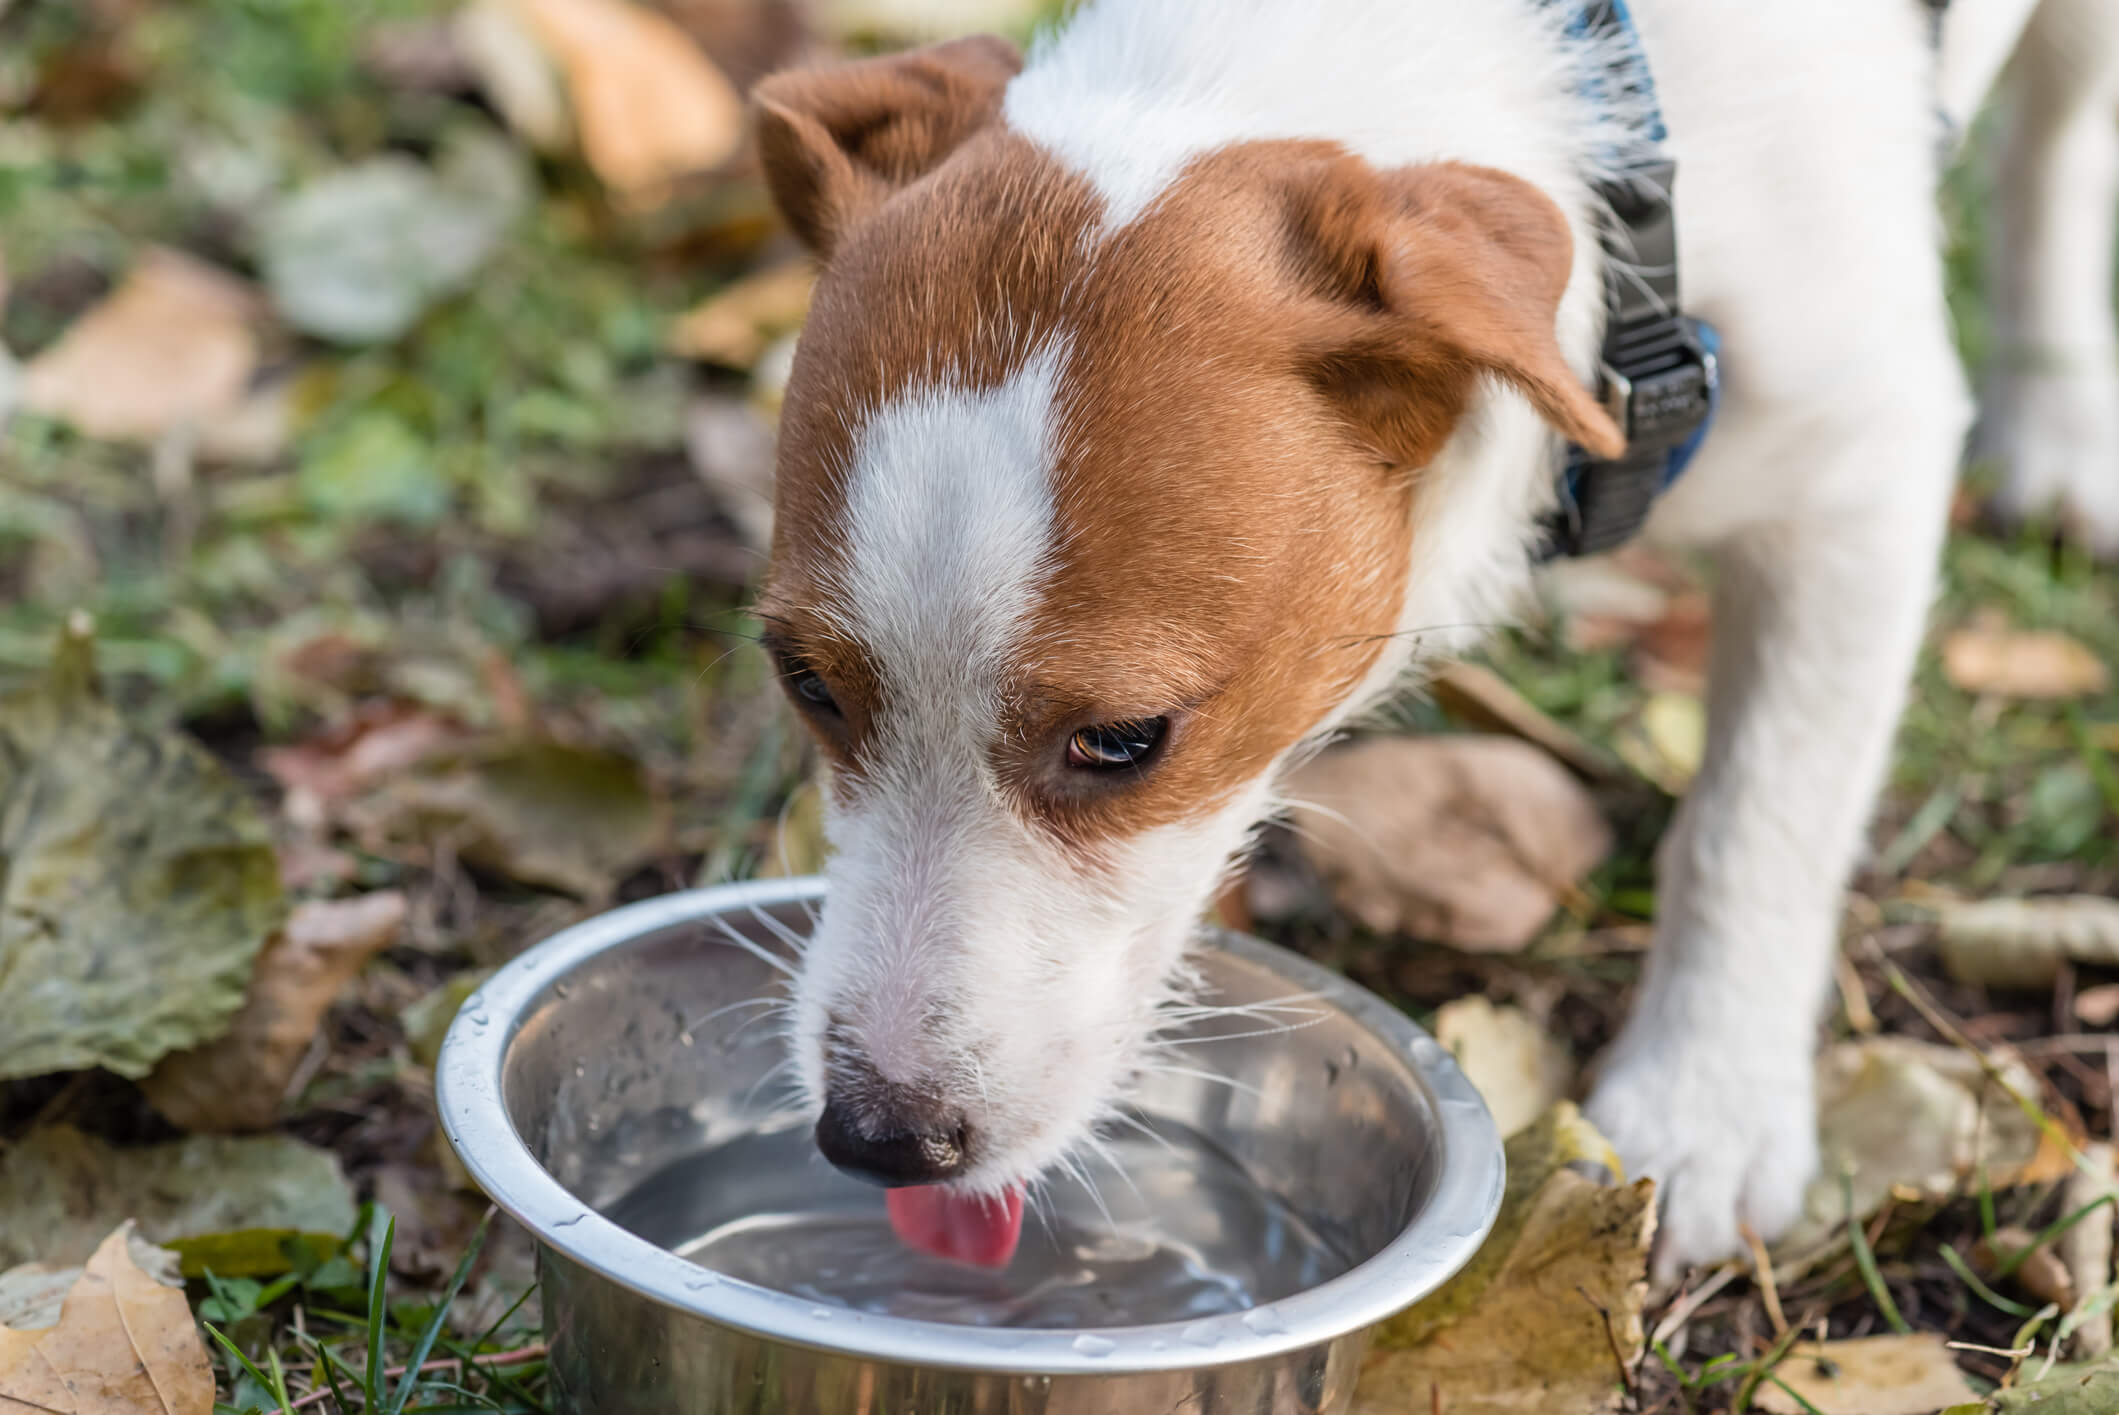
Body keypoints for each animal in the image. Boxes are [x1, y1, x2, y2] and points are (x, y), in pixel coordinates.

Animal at [741, 0, 2119, 1279]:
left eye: (1125, 739)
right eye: (804, 682)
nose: (875, 1138)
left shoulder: (1859, 480)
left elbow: (1757, 821)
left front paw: (1704, 1102)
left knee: (2059, 131)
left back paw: (2058, 414)